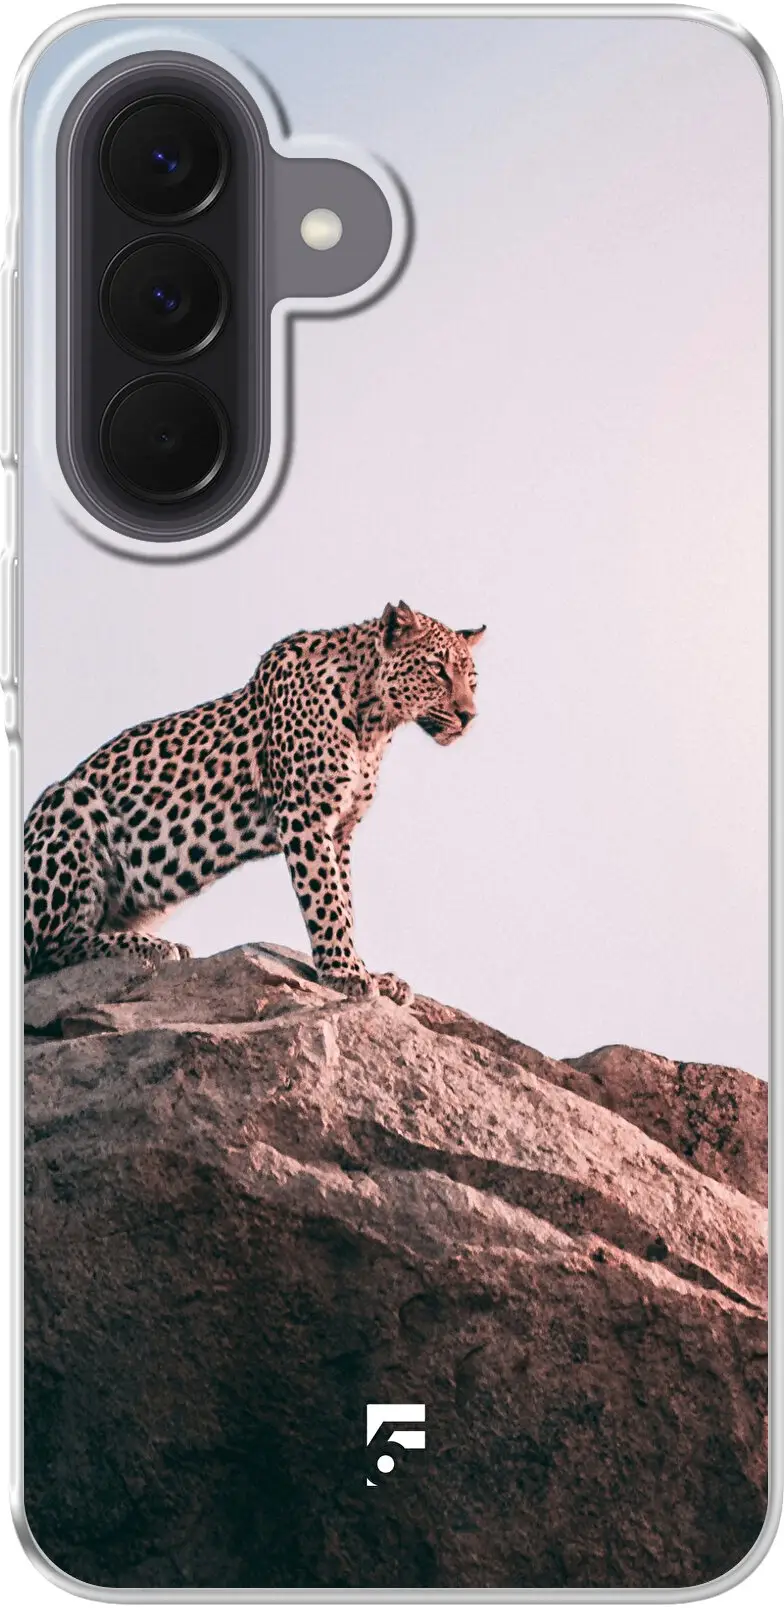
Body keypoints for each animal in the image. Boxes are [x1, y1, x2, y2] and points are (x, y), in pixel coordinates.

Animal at [23, 602, 485, 1001]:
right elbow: (326, 900)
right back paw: (151, 946)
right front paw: (345, 973)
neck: (374, 721)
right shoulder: (306, 816)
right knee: (49, 950)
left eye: (472, 679)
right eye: (437, 670)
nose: (469, 716)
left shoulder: (341, 830)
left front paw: (368, 971)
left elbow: (346, 901)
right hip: (70, 802)